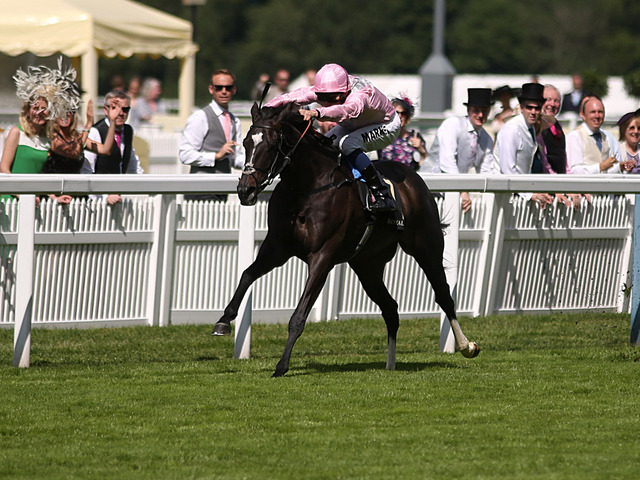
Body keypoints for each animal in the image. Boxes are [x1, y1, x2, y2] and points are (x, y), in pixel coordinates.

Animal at [212, 103, 478, 376]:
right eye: (246, 142)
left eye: (272, 144)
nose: (245, 191)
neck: (308, 187)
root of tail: (413, 176)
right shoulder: (277, 248)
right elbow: (247, 275)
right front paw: (223, 321)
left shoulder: (322, 256)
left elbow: (299, 315)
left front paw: (282, 365)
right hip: (367, 265)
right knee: (391, 308)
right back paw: (390, 364)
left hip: (426, 247)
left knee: (443, 295)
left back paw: (466, 346)